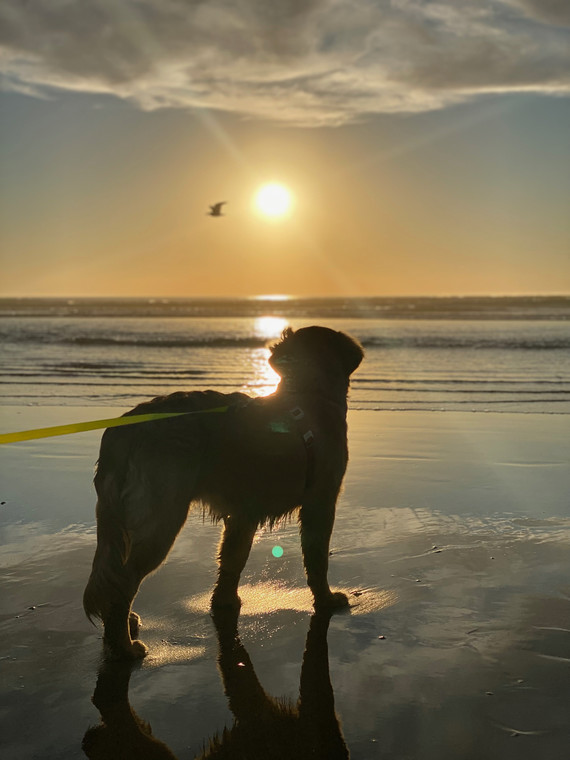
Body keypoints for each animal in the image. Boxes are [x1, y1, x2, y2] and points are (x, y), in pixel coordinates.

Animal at [82, 326, 362, 660]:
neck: (308, 395)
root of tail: (124, 430)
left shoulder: (243, 515)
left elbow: (232, 561)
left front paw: (225, 601)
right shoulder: (320, 502)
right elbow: (318, 561)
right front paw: (327, 599)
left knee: (112, 576)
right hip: (161, 518)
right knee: (122, 581)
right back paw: (124, 646)